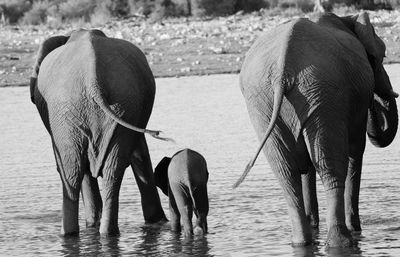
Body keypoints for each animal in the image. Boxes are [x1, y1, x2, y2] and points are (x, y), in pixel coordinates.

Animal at [30, 29, 172, 235]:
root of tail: (92, 79)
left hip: (78, 110)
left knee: (76, 170)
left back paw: (83, 233)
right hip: (111, 106)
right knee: (103, 170)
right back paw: (100, 232)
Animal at [233, 13, 398, 247]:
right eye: (382, 56)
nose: (374, 102)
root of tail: (283, 69)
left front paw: (315, 225)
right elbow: (356, 151)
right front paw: (356, 228)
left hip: (266, 103)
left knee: (287, 173)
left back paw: (303, 242)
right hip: (321, 94)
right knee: (330, 167)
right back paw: (342, 241)